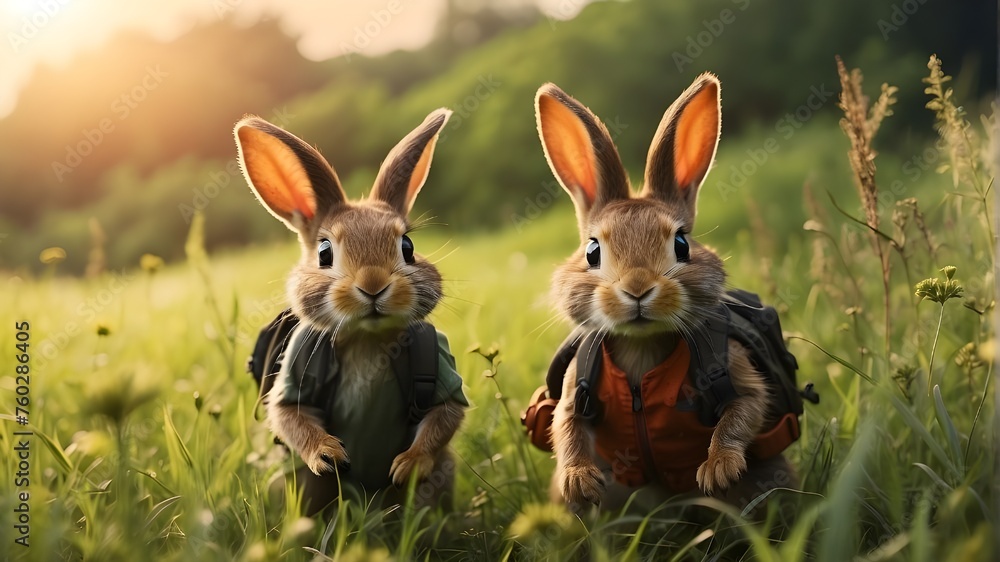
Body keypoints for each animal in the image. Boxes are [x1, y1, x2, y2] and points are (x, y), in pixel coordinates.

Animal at [234, 109, 467, 512]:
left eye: (408, 246)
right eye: (324, 252)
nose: (373, 286)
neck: (366, 338)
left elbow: (446, 413)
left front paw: (408, 465)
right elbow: (289, 415)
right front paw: (327, 454)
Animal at [534, 74, 796, 511]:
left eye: (682, 244)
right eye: (592, 251)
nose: (638, 289)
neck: (642, 349)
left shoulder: (737, 373)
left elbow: (744, 407)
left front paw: (718, 469)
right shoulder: (573, 390)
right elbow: (566, 424)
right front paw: (578, 481)